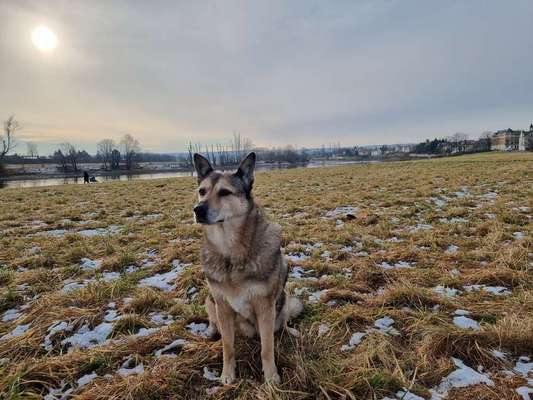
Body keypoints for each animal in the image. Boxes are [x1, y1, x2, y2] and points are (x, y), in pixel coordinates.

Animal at [194, 152, 304, 382]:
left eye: (224, 192)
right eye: (202, 191)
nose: (197, 210)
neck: (232, 252)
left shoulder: (265, 306)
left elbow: (267, 348)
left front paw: (271, 378)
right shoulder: (223, 306)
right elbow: (228, 346)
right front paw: (228, 374)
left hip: (282, 295)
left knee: (283, 320)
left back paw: (291, 331)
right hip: (210, 299)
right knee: (213, 319)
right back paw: (210, 331)